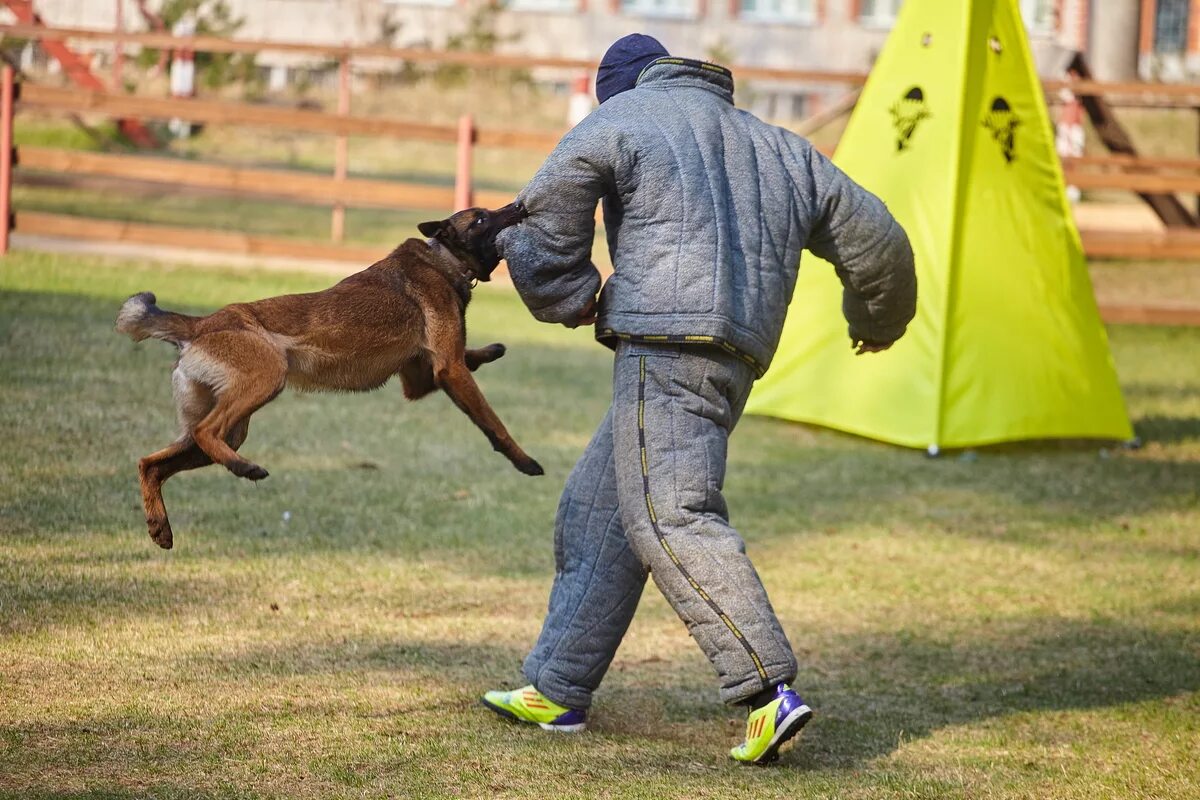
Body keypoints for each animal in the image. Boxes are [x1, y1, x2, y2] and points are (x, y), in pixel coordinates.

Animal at [117, 203, 540, 546]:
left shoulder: (420, 379)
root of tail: (201, 324)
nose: (519, 205)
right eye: (482, 218)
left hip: (228, 425)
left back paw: (160, 527)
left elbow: (465, 360)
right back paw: (245, 468)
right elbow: (493, 421)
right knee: (207, 433)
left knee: (151, 463)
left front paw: (491, 350)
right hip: (266, 377)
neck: (444, 258)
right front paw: (524, 460)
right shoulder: (449, 370)